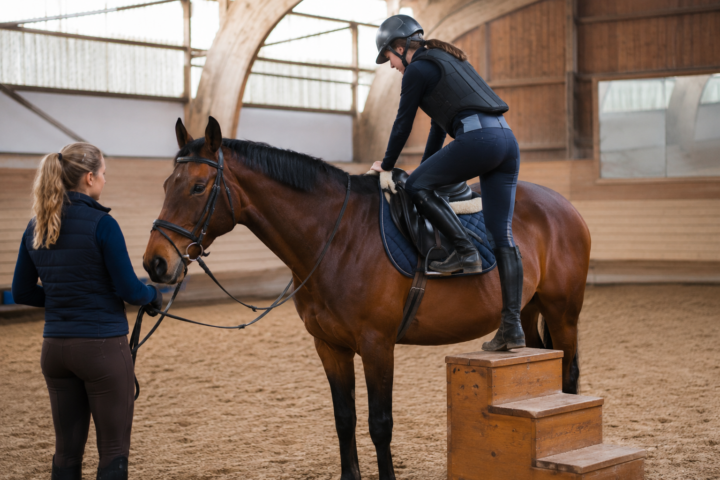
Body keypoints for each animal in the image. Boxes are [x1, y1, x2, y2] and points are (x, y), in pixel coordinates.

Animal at [143, 117, 591, 480]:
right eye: (165, 186)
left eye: (198, 187)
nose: (155, 263)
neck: (337, 237)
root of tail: (564, 205)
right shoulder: (329, 346)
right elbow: (345, 418)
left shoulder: (377, 346)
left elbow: (380, 423)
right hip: (531, 311)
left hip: (563, 313)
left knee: (569, 375)